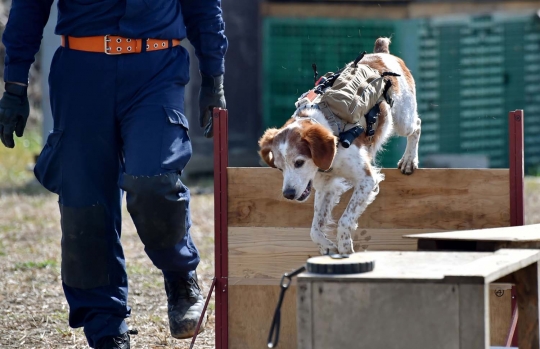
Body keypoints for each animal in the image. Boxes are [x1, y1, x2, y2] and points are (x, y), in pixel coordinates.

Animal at [258, 38, 422, 254]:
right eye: (279, 167)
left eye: (299, 162)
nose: (288, 194)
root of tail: (382, 53)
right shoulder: (327, 186)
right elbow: (315, 229)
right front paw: (328, 248)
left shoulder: (366, 179)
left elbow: (345, 220)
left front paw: (345, 249)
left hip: (403, 119)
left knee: (416, 125)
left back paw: (409, 160)